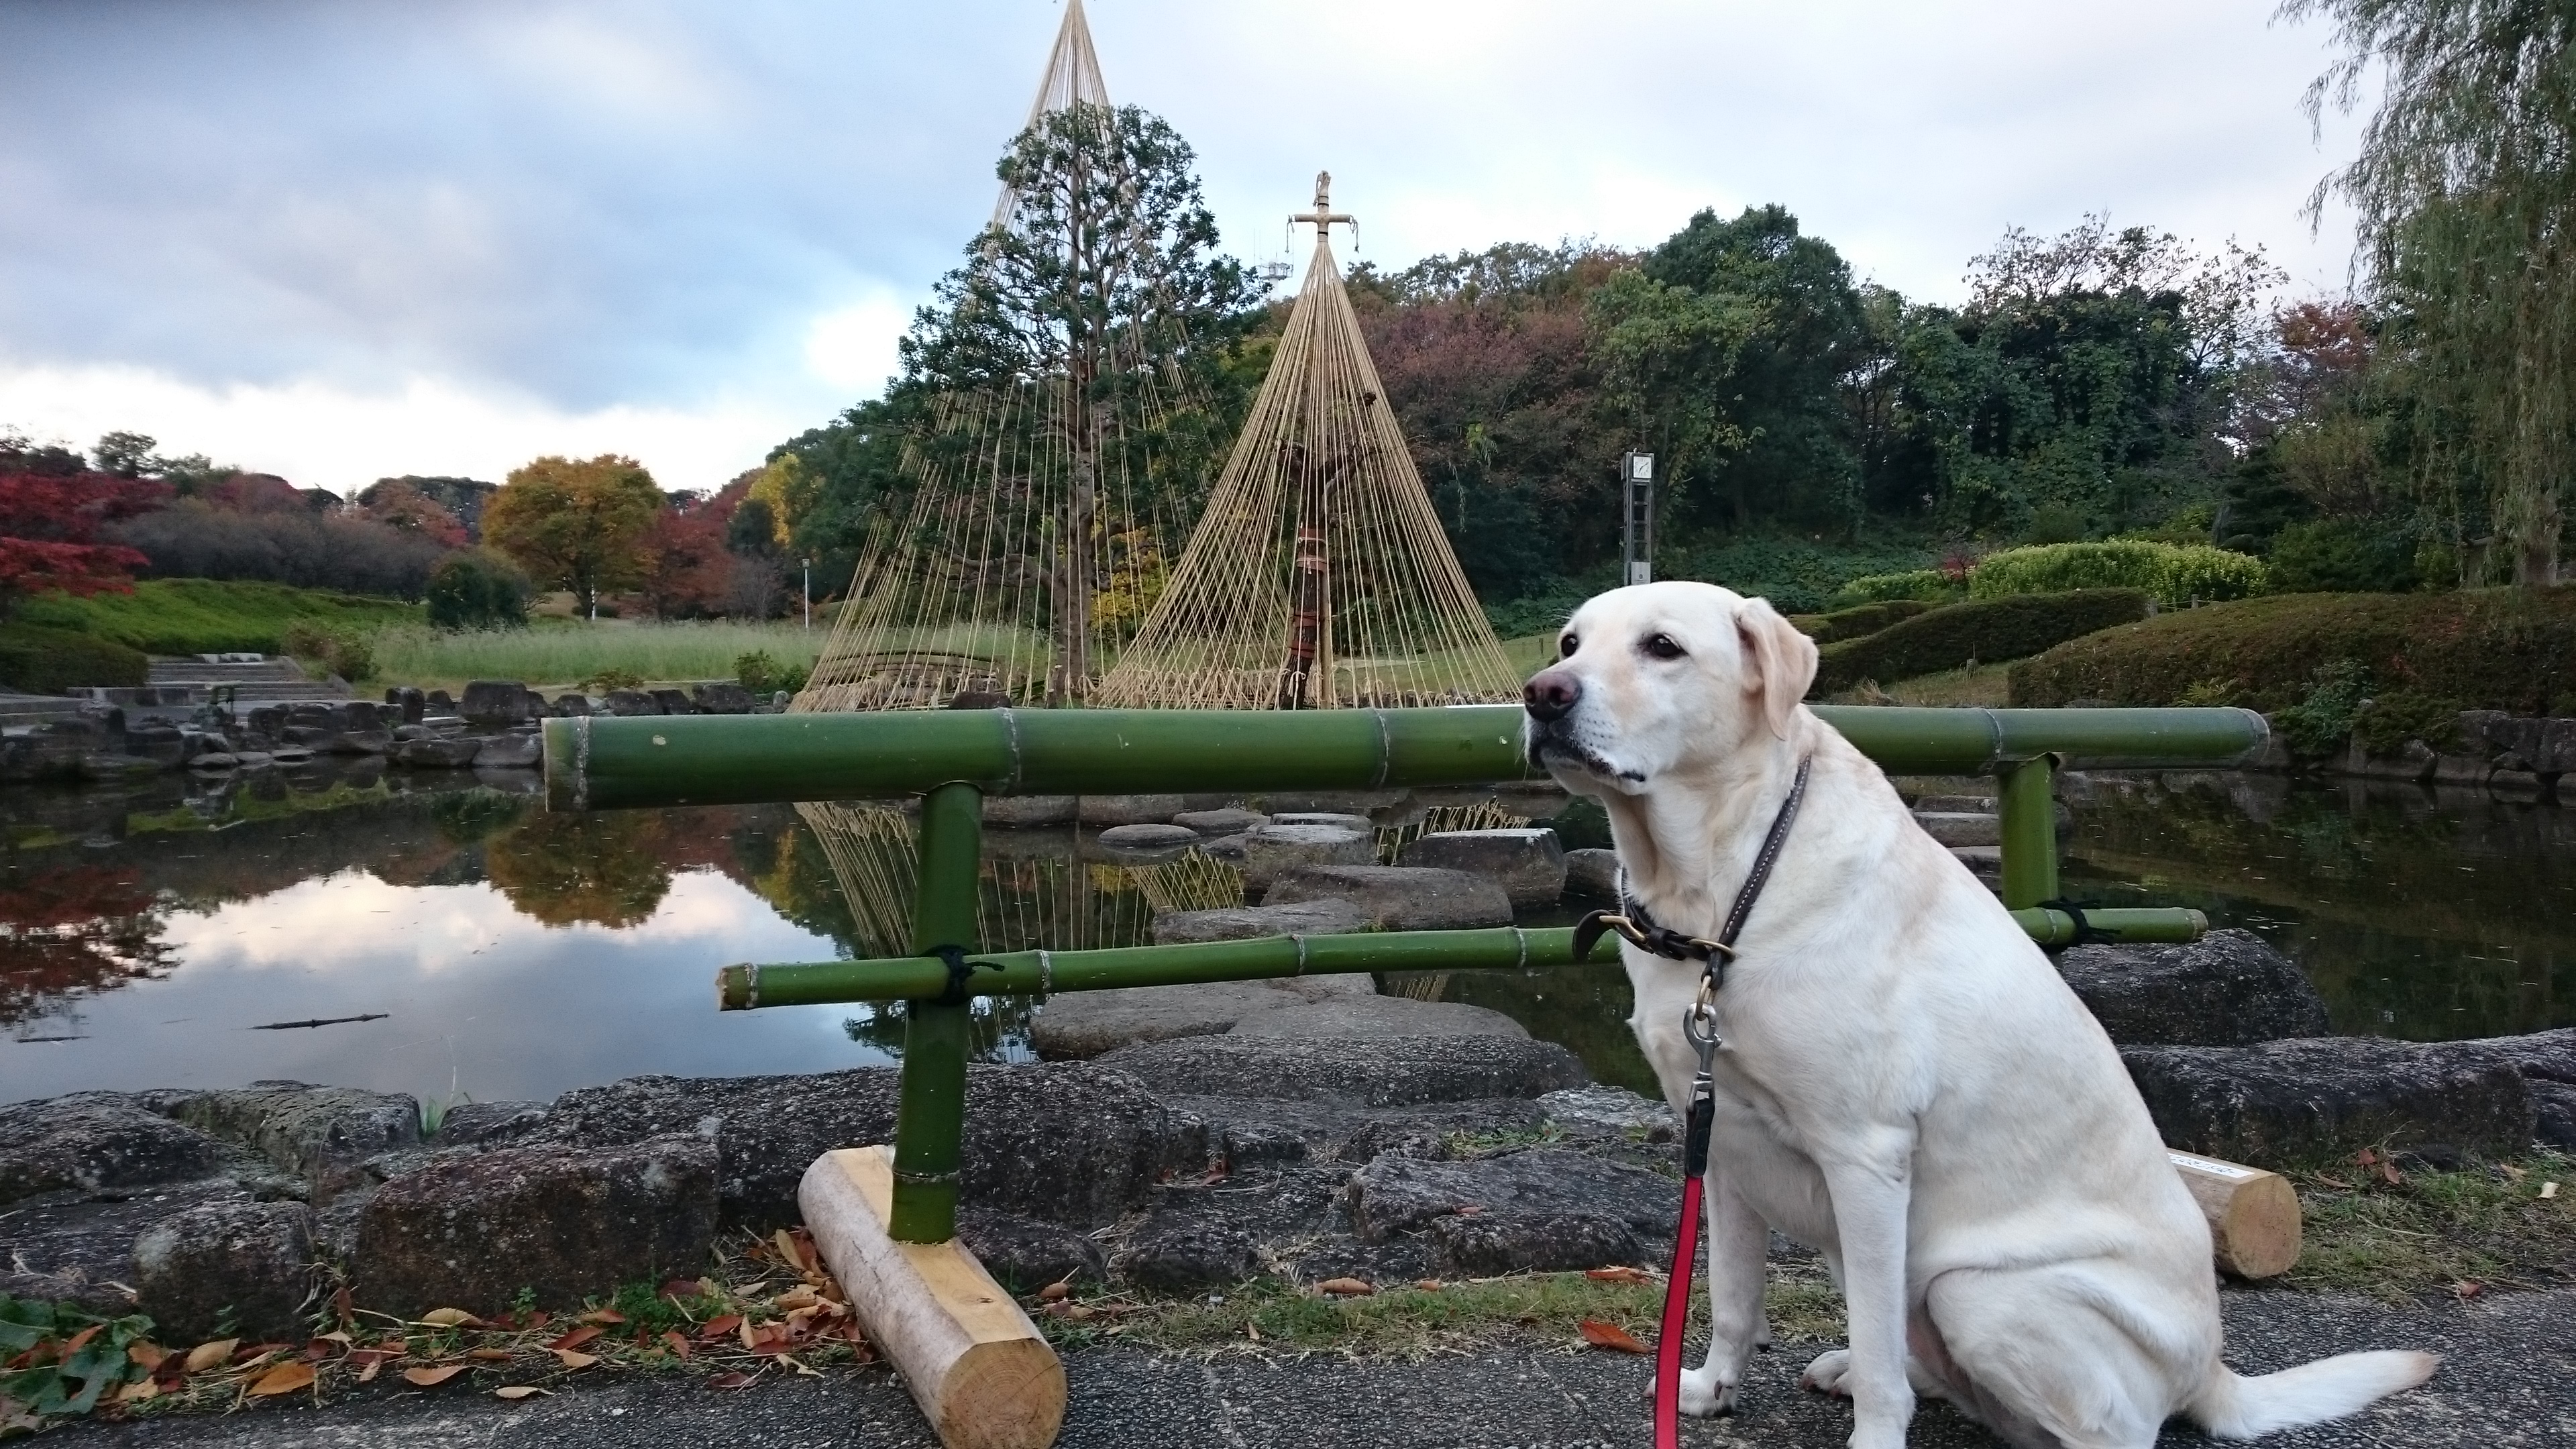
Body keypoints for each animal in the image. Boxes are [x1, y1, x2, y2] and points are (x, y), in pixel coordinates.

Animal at [1525, 580, 2431, 1444]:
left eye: (1663, 646)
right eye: (1570, 643)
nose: (1541, 694)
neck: (1722, 886)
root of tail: (2211, 1373)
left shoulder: (1866, 1156)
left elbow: (1875, 1350)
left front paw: (1873, 1437)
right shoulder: (1719, 1143)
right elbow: (1733, 1297)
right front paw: (1710, 1391)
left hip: (1973, 1291)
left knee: (2097, 1424)